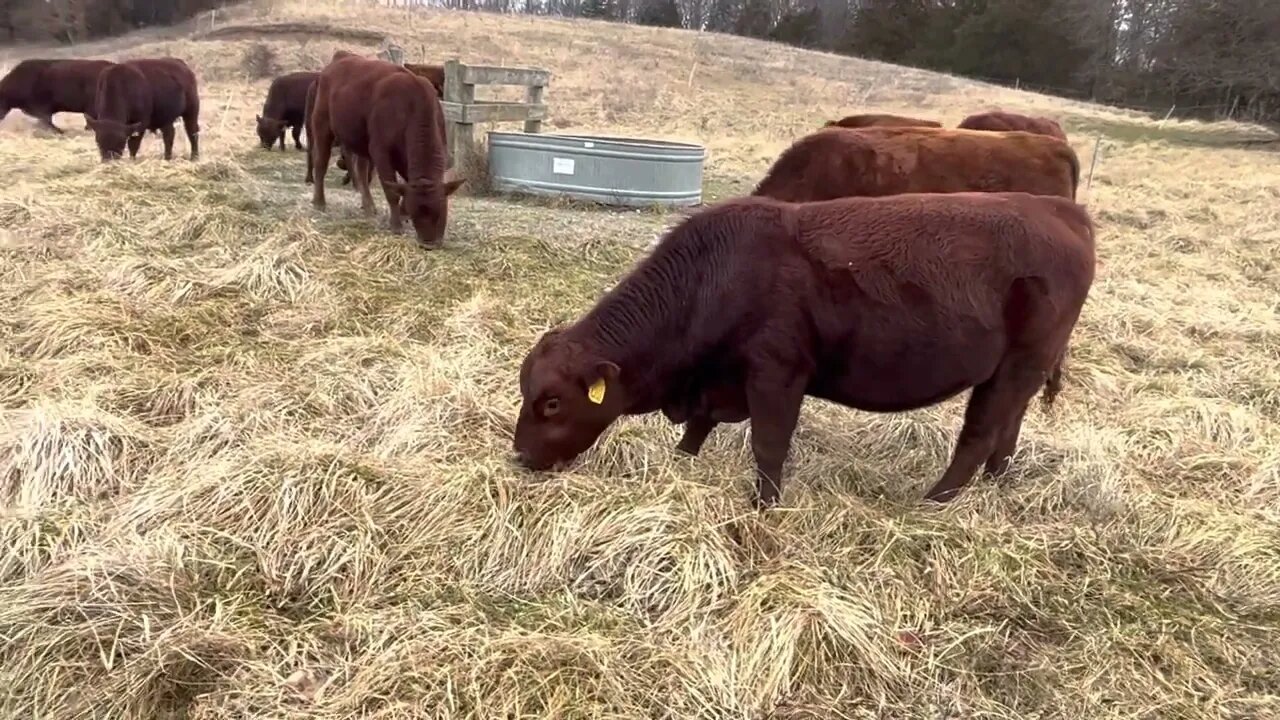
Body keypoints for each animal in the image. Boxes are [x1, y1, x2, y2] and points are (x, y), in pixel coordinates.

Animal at [307, 51, 463, 244]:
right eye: (417, 213)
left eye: (440, 211)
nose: (429, 243)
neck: (411, 106)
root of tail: (339, 59)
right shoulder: (381, 153)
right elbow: (392, 191)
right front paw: (396, 225)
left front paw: (403, 214)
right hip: (322, 126)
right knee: (321, 163)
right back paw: (319, 202)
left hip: (361, 140)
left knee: (361, 169)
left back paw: (368, 206)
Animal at [514, 189, 1095, 504]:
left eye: (553, 402)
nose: (518, 457)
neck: (720, 275)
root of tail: (1062, 209)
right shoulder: (719, 382)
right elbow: (697, 430)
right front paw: (683, 466)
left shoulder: (777, 374)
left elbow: (769, 446)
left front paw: (763, 507)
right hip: (1018, 373)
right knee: (1007, 429)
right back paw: (997, 485)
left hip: (1014, 368)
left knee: (977, 435)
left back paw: (933, 503)